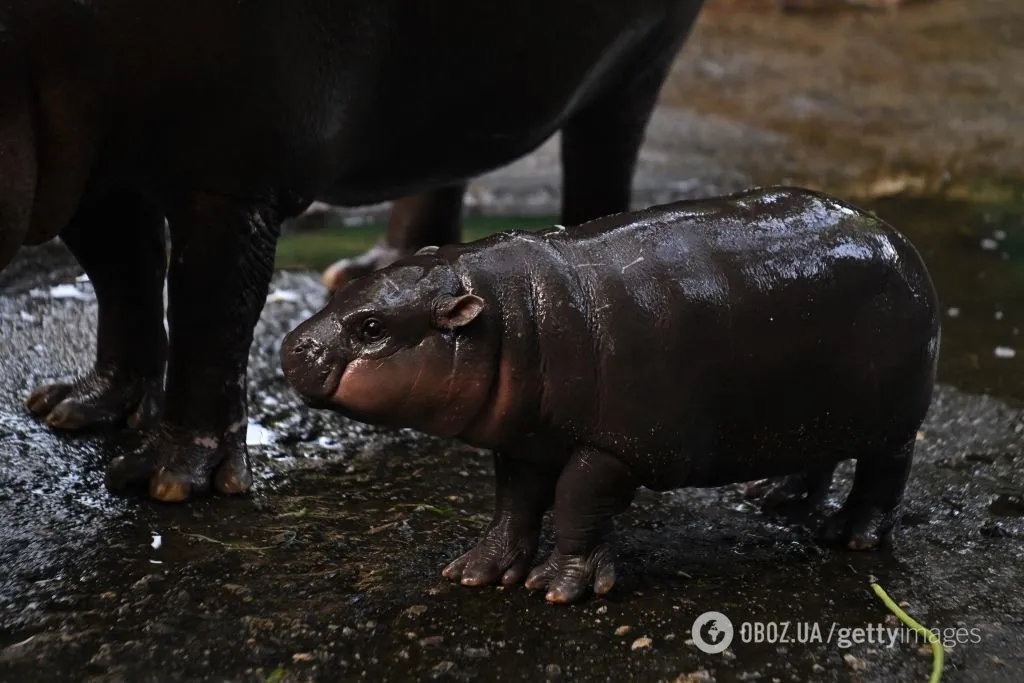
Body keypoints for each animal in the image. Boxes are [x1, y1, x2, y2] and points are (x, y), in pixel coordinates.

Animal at [0, 0, 704, 501]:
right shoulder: (89, 166)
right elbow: (123, 277)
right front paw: (76, 408)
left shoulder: (232, 174)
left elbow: (208, 312)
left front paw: (166, 480)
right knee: (443, 159)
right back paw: (371, 270)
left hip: (640, 61)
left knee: (603, 152)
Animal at [278, 185, 937, 602]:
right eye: (349, 286)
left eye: (372, 327)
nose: (291, 347)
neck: (514, 317)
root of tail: (895, 235)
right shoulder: (526, 440)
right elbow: (513, 505)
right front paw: (475, 572)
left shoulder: (616, 447)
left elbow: (574, 500)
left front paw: (556, 588)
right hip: (816, 404)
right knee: (819, 454)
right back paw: (774, 496)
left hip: (894, 418)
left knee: (885, 472)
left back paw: (849, 536)